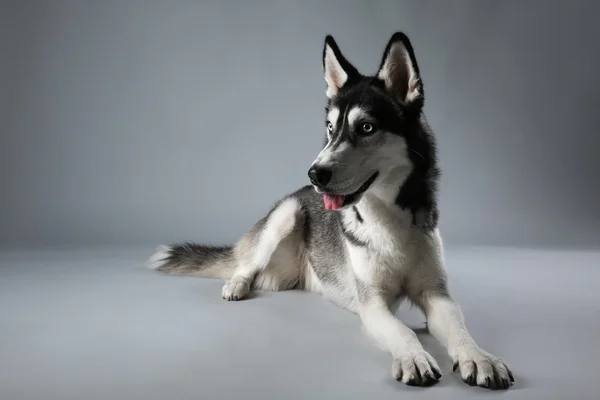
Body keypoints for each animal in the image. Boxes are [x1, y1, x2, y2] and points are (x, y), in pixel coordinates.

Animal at [148, 32, 512, 390]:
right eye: (330, 128)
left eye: (366, 128)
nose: (314, 174)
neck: (388, 221)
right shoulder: (373, 303)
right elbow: (403, 330)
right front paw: (414, 356)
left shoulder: (436, 294)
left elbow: (460, 329)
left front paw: (479, 357)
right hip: (285, 215)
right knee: (245, 263)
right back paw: (237, 285)